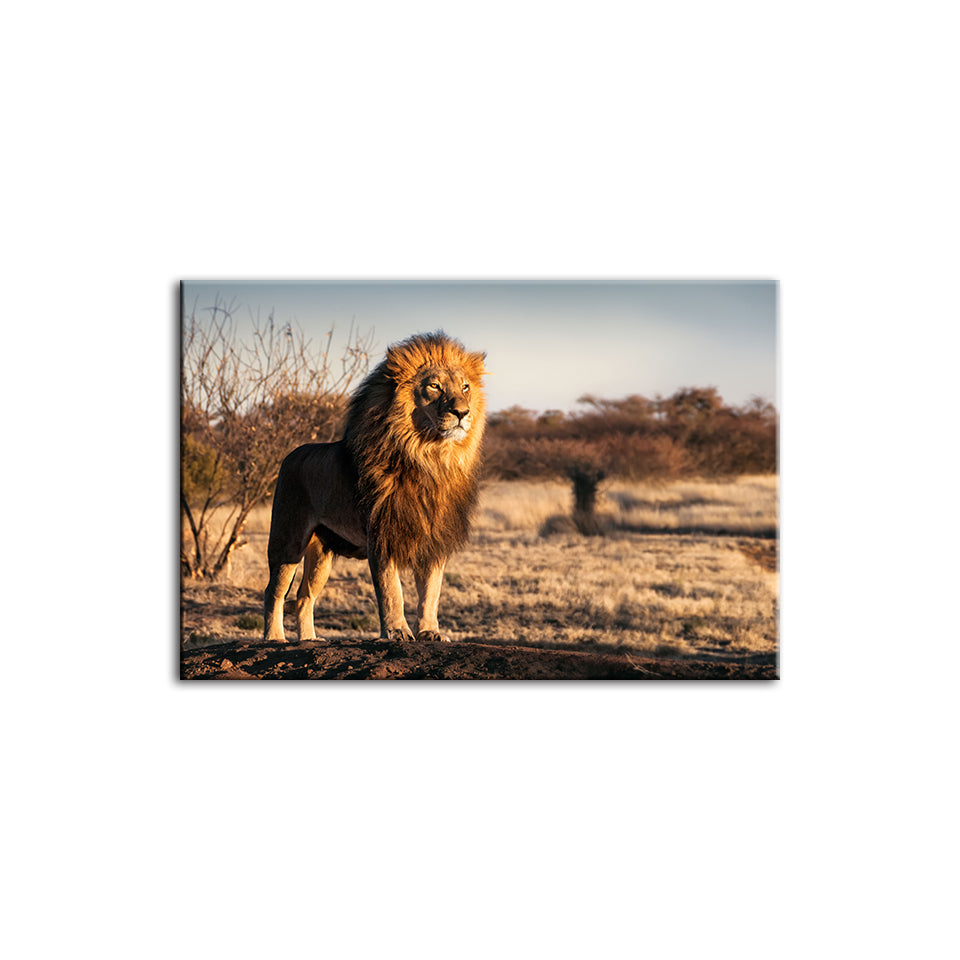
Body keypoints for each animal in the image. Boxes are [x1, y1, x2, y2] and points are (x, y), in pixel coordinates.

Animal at [263, 331, 487, 643]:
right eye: (434, 386)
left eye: (465, 387)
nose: (462, 412)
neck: (429, 458)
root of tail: (291, 454)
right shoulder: (381, 533)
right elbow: (392, 590)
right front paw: (397, 632)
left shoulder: (434, 538)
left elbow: (431, 592)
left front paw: (430, 632)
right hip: (288, 540)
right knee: (274, 591)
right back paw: (274, 638)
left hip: (321, 554)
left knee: (304, 596)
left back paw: (309, 639)